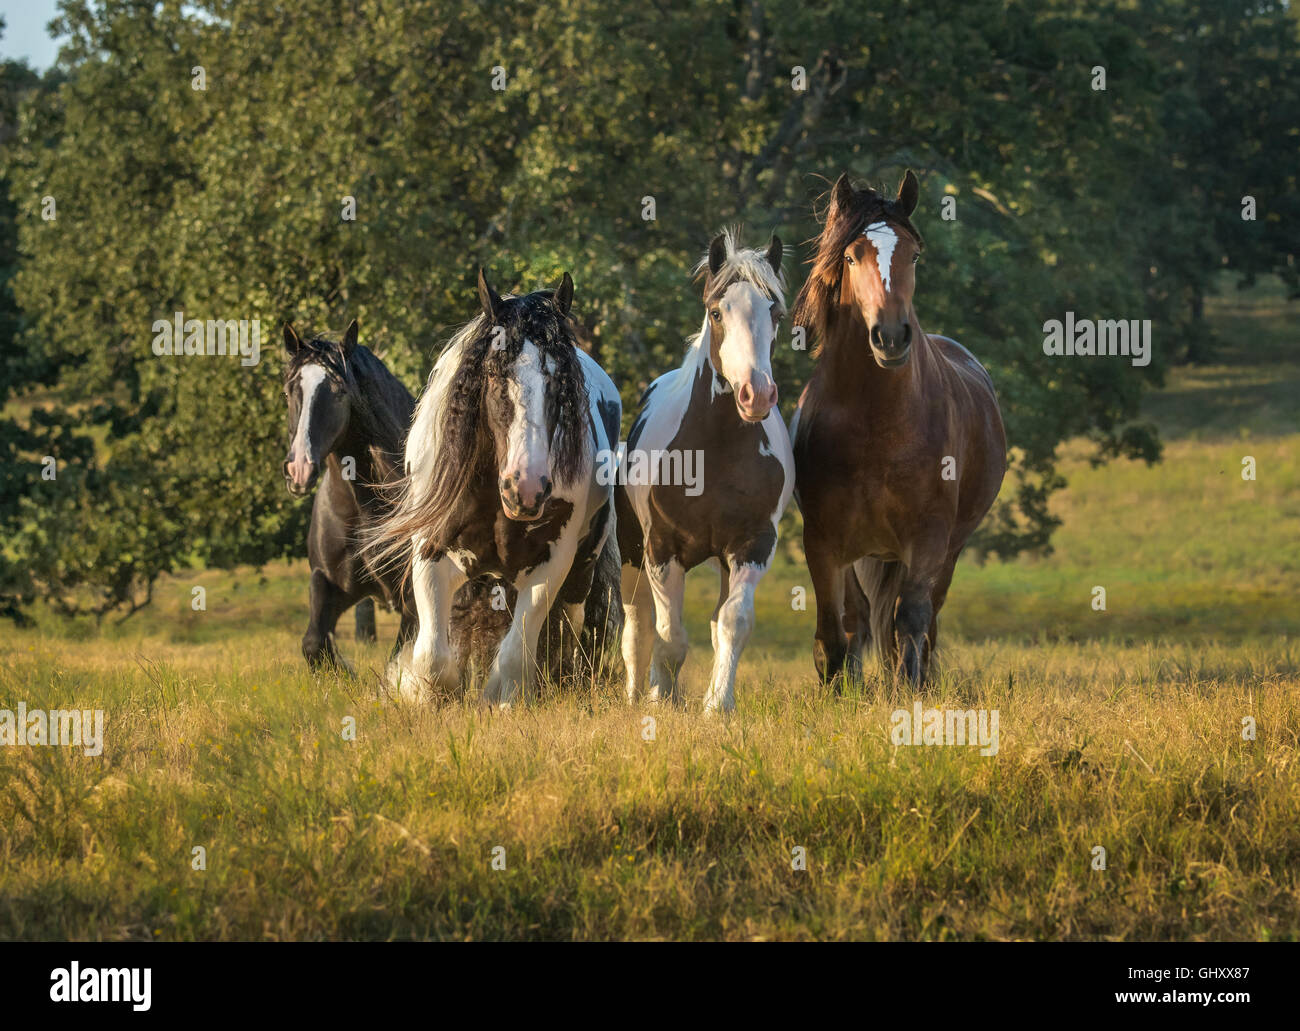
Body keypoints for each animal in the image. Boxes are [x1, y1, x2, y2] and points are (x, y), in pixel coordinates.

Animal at [282, 319, 418, 665]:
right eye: (289, 390)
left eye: (340, 391)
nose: (299, 469)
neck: (363, 508)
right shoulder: (328, 582)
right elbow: (314, 642)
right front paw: (345, 669)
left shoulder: (413, 598)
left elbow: (400, 658)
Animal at [374, 267, 621, 707]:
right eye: (493, 372)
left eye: (561, 382)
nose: (526, 489)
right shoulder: (431, 552)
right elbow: (432, 657)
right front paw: (422, 693)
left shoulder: (552, 562)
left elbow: (513, 654)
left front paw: (501, 698)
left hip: (581, 574)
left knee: (569, 635)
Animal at [616, 231, 790, 717]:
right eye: (717, 311)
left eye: (776, 313)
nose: (756, 394)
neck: (714, 452)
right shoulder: (661, 549)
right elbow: (668, 636)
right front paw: (661, 698)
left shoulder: (753, 545)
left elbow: (732, 622)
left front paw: (717, 705)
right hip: (632, 553)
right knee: (638, 626)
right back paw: (638, 693)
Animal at [790, 172, 1003, 686]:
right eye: (851, 256)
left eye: (914, 254)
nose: (891, 337)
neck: (877, 423)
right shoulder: (822, 541)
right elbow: (833, 632)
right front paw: (838, 692)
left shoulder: (928, 538)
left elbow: (910, 622)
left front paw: (909, 691)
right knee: (858, 618)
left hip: (947, 549)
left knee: (922, 621)